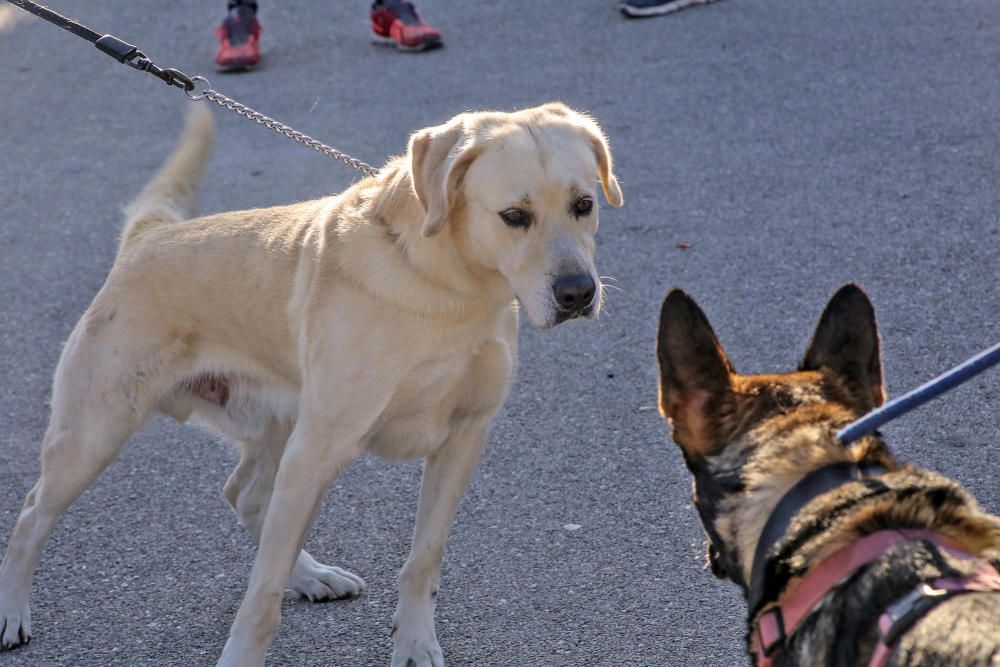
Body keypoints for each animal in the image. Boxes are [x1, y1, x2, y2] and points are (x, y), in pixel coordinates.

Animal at [0, 103, 620, 664]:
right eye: (514, 215)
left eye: (584, 206)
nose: (576, 293)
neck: (446, 285)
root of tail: (150, 235)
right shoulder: (320, 448)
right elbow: (260, 599)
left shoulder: (463, 437)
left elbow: (423, 559)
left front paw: (415, 645)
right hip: (97, 435)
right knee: (31, 515)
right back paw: (12, 612)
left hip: (282, 428)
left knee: (246, 496)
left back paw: (311, 575)